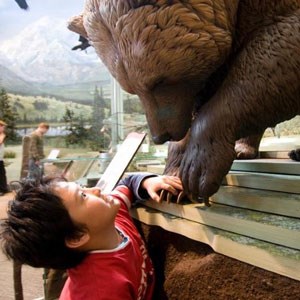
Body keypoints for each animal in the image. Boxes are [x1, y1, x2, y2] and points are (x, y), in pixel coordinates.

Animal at [69, 1, 300, 202]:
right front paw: (174, 182)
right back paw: (244, 149)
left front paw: (197, 170)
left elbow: (274, 57)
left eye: (158, 82)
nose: (161, 136)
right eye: (131, 89)